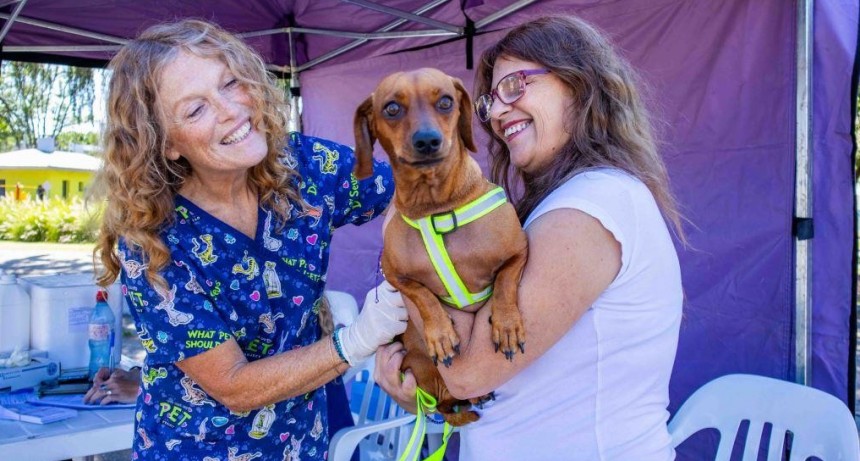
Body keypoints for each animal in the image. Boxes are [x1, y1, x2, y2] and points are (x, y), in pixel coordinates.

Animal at [352, 67, 528, 424]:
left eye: (446, 102)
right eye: (392, 108)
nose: (427, 140)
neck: (437, 208)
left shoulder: (518, 251)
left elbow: (505, 282)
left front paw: (506, 324)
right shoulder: (394, 274)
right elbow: (422, 296)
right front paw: (441, 334)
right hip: (423, 370)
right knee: (445, 407)